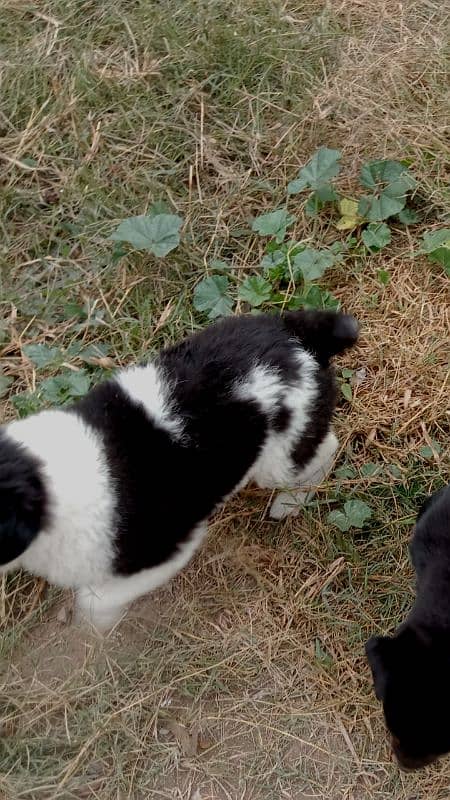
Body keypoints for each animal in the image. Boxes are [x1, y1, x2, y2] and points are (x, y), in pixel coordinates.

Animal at [0, 310, 358, 632]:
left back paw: (289, 503)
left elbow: (93, 601)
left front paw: (90, 633)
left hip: (282, 456)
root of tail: (296, 333)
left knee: (324, 449)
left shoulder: (167, 551)